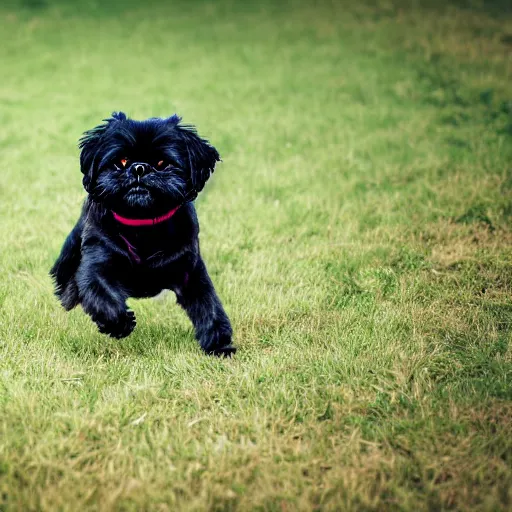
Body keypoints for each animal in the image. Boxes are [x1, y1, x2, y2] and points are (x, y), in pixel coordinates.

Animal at [51, 113, 235, 356]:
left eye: (162, 163)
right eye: (121, 162)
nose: (139, 168)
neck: (142, 224)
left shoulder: (190, 270)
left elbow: (209, 306)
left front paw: (219, 344)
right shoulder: (96, 263)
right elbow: (101, 294)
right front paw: (119, 324)